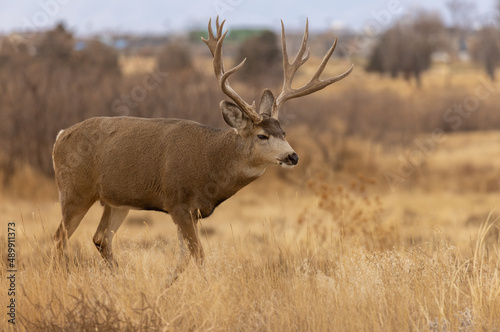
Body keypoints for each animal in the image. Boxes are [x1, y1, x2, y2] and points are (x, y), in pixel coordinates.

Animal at [51, 16, 352, 278]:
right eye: (262, 136)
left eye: (283, 131)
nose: (293, 156)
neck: (210, 162)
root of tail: (60, 135)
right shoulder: (176, 202)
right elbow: (199, 255)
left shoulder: (193, 212)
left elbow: (185, 257)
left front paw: (167, 287)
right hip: (75, 190)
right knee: (59, 238)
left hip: (116, 201)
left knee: (101, 238)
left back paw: (121, 279)